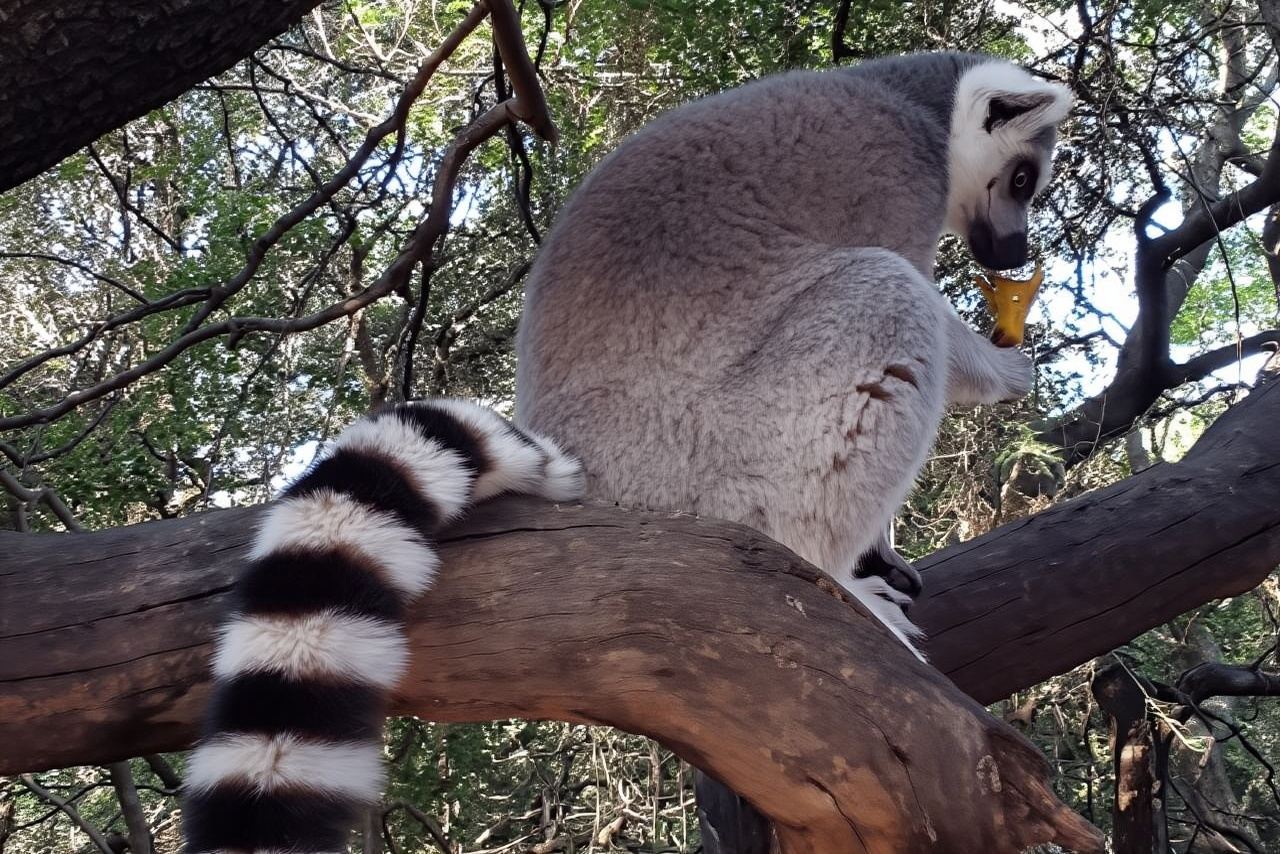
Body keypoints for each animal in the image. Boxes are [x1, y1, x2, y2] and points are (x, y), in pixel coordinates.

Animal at [182, 51, 1069, 852]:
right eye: (1023, 179)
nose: (1014, 255)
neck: (912, 101)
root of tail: (595, 476)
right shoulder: (887, 174)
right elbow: (923, 299)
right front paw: (1001, 372)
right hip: (719, 453)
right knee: (885, 297)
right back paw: (836, 576)